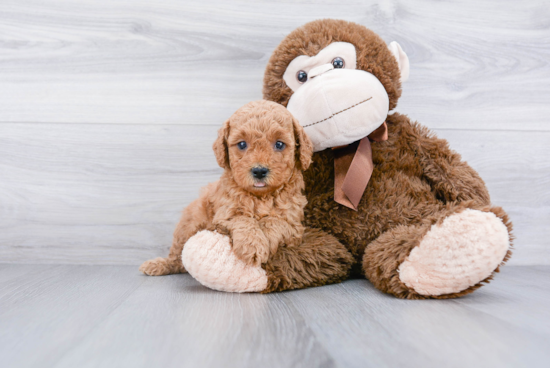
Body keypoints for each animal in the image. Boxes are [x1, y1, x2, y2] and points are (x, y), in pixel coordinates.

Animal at [141, 99, 314, 274]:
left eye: (279, 144)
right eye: (242, 144)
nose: (259, 171)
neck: (261, 196)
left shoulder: (295, 226)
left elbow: (275, 221)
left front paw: (268, 240)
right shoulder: (224, 215)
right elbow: (242, 219)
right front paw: (252, 246)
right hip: (188, 224)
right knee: (177, 255)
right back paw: (158, 265)